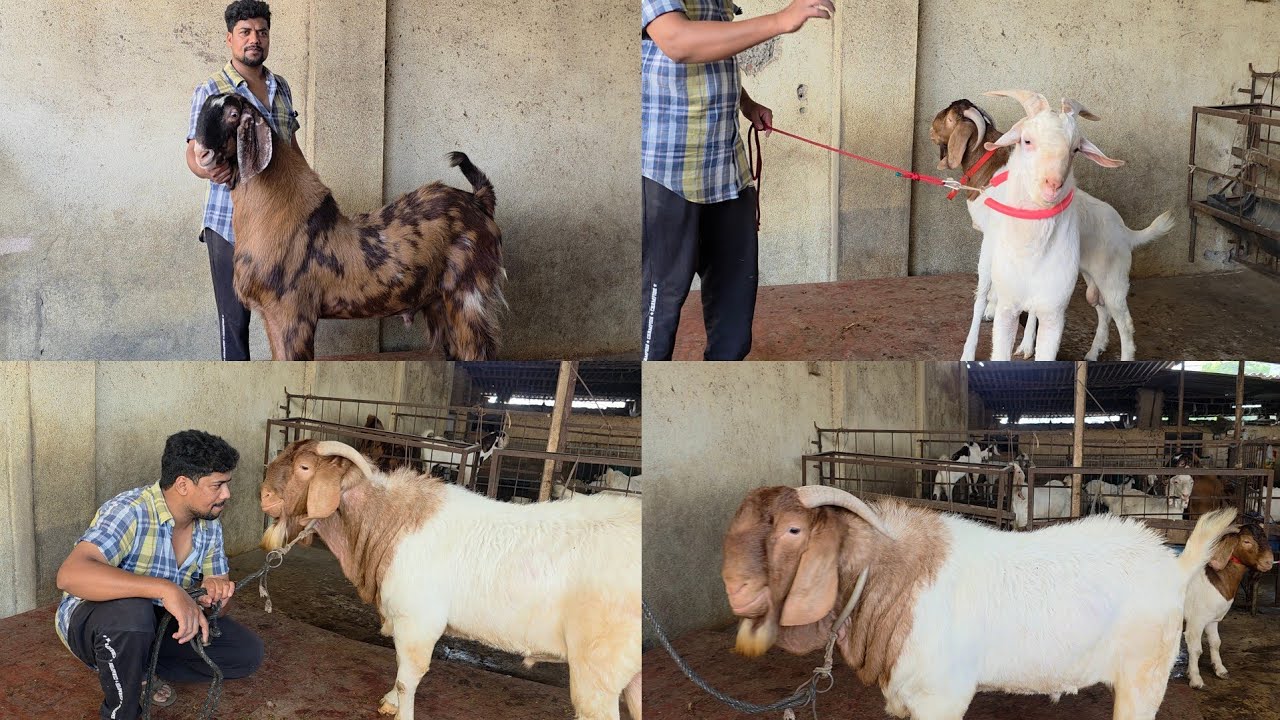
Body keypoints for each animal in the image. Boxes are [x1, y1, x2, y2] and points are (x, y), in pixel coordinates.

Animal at [191, 93, 505, 360]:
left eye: (233, 115)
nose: (202, 154)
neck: (279, 214)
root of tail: (480, 200)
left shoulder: (291, 313)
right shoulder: (272, 315)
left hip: (467, 292)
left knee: (479, 352)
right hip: (439, 301)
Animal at [259, 440, 641, 720]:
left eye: (304, 468)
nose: (263, 496)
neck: (391, 523)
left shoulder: (418, 620)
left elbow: (408, 678)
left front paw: (400, 710)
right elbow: (399, 669)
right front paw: (389, 702)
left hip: (597, 668)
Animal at [721, 484, 1236, 720]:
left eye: (794, 530)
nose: (734, 587)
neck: (897, 578)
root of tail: (1175, 564)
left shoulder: (943, 698)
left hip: (1144, 676)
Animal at [936, 98, 1173, 362]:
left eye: (948, 117)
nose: (931, 126)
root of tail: (1126, 232)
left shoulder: (990, 241)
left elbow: (982, 294)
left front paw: (971, 349)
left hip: (1114, 279)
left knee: (1124, 322)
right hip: (1093, 274)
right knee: (1103, 310)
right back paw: (1094, 351)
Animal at [1183, 522, 1275, 688]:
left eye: (1265, 538)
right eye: (1246, 541)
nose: (1268, 562)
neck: (1216, 579)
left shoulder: (1213, 619)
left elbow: (1216, 643)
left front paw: (1220, 670)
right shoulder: (1196, 619)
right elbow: (1196, 649)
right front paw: (1196, 679)